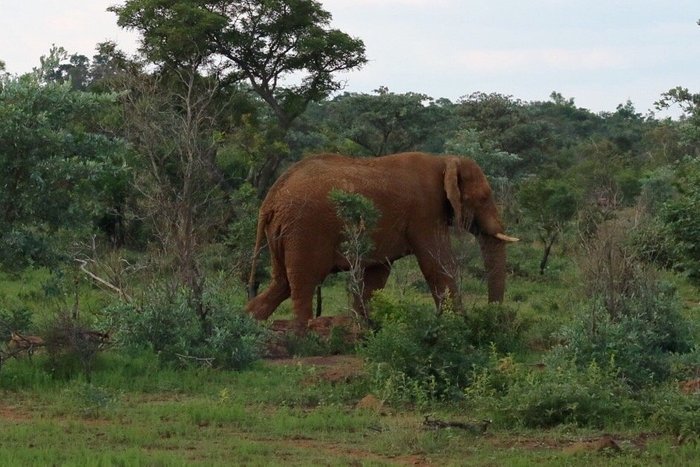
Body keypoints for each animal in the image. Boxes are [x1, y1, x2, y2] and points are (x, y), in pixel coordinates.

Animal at [245, 152, 516, 328]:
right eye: (484, 198)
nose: (495, 318)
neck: (445, 160)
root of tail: (269, 201)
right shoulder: (425, 210)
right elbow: (437, 263)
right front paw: (459, 325)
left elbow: (375, 275)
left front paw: (362, 325)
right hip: (305, 229)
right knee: (303, 282)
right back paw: (303, 332)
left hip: (283, 232)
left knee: (282, 283)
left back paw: (248, 323)